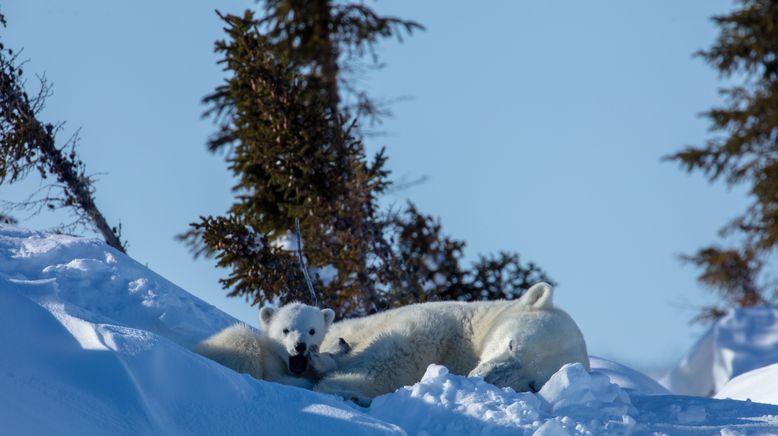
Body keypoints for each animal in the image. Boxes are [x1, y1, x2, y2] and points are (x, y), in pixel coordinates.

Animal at [312, 282, 584, 406]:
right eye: (512, 345)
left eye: (532, 384)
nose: (485, 378)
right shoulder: (443, 325)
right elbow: (398, 351)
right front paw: (344, 387)